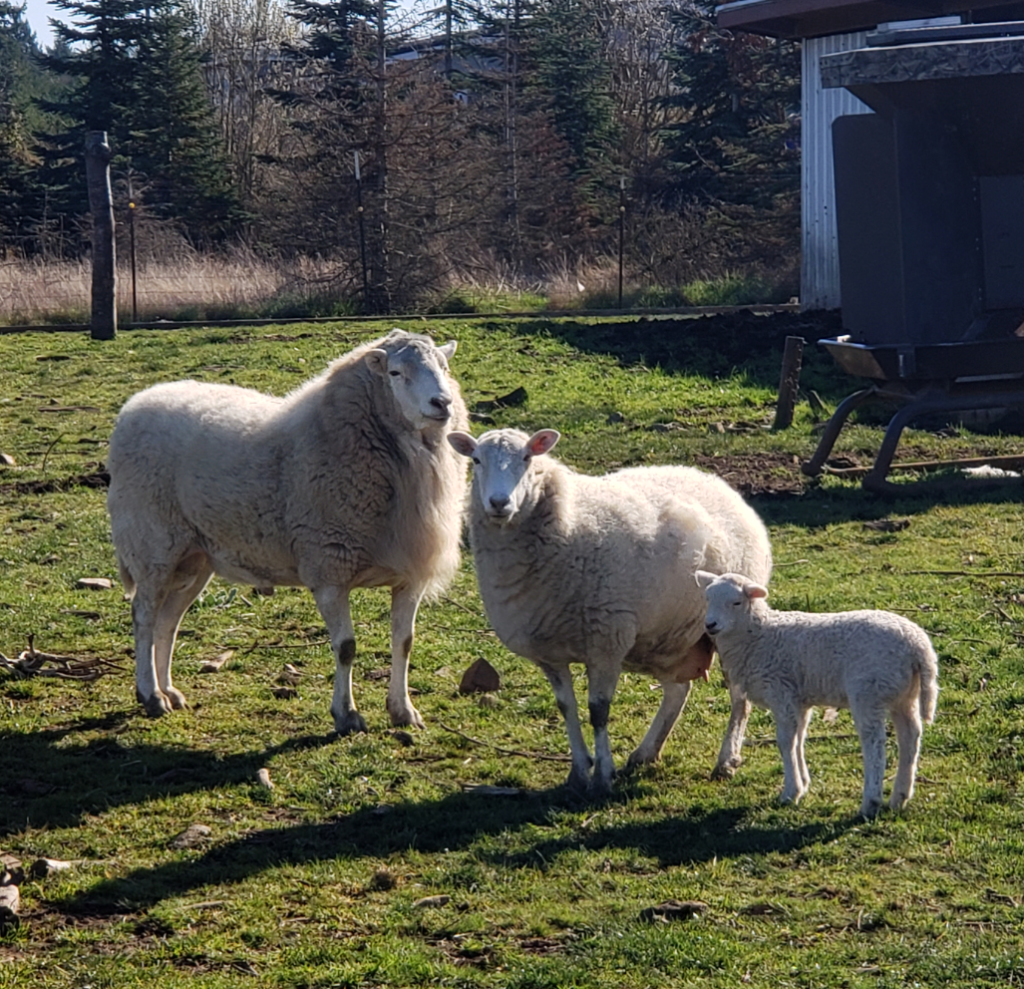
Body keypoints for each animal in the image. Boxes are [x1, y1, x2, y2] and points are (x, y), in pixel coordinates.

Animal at [107, 329, 468, 733]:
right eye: (394, 373)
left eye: (444, 367)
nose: (442, 403)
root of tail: (136, 403)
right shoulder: (328, 566)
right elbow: (346, 647)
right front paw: (346, 714)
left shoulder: (408, 575)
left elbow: (404, 642)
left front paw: (403, 710)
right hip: (152, 543)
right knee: (144, 616)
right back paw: (150, 694)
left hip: (194, 557)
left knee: (168, 622)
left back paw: (170, 691)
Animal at [444, 427, 770, 798]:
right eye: (476, 460)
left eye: (528, 457)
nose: (499, 503)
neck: (567, 524)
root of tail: (712, 480)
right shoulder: (549, 653)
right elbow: (566, 708)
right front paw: (578, 772)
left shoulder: (606, 641)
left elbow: (598, 711)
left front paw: (602, 774)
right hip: (669, 635)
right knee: (677, 691)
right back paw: (646, 752)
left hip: (728, 629)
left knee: (739, 697)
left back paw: (726, 760)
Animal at [696, 573, 937, 819]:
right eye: (707, 598)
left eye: (736, 602)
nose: (710, 625)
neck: (759, 634)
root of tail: (918, 646)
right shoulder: (798, 698)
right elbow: (799, 738)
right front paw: (803, 783)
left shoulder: (780, 691)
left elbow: (786, 741)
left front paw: (791, 792)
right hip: (904, 695)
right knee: (910, 736)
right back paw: (899, 797)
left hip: (869, 690)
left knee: (874, 742)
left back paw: (870, 802)